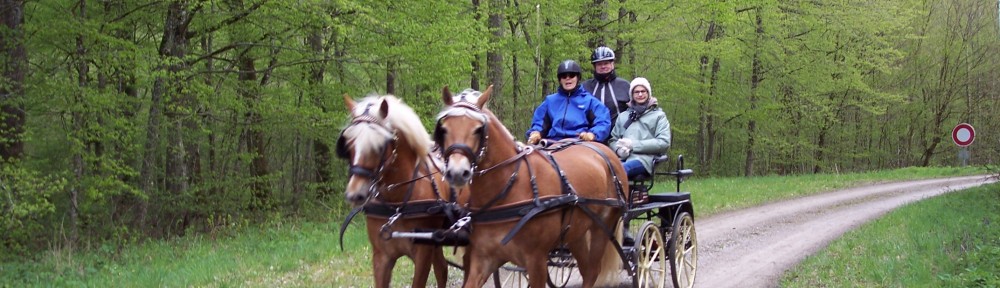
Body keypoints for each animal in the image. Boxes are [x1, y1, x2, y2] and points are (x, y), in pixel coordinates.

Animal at [342, 95, 456, 288]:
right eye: (348, 145)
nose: (355, 194)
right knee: (442, 268)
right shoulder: (381, 257)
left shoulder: (423, 253)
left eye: (379, 146)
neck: (396, 204)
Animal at [434, 86, 628, 286]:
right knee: (587, 270)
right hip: (577, 232)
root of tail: (605, 152)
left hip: (603, 227)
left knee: (594, 269)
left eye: (478, 129)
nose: (457, 172)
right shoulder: (483, 258)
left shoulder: (536, 261)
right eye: (444, 129)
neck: (507, 189)